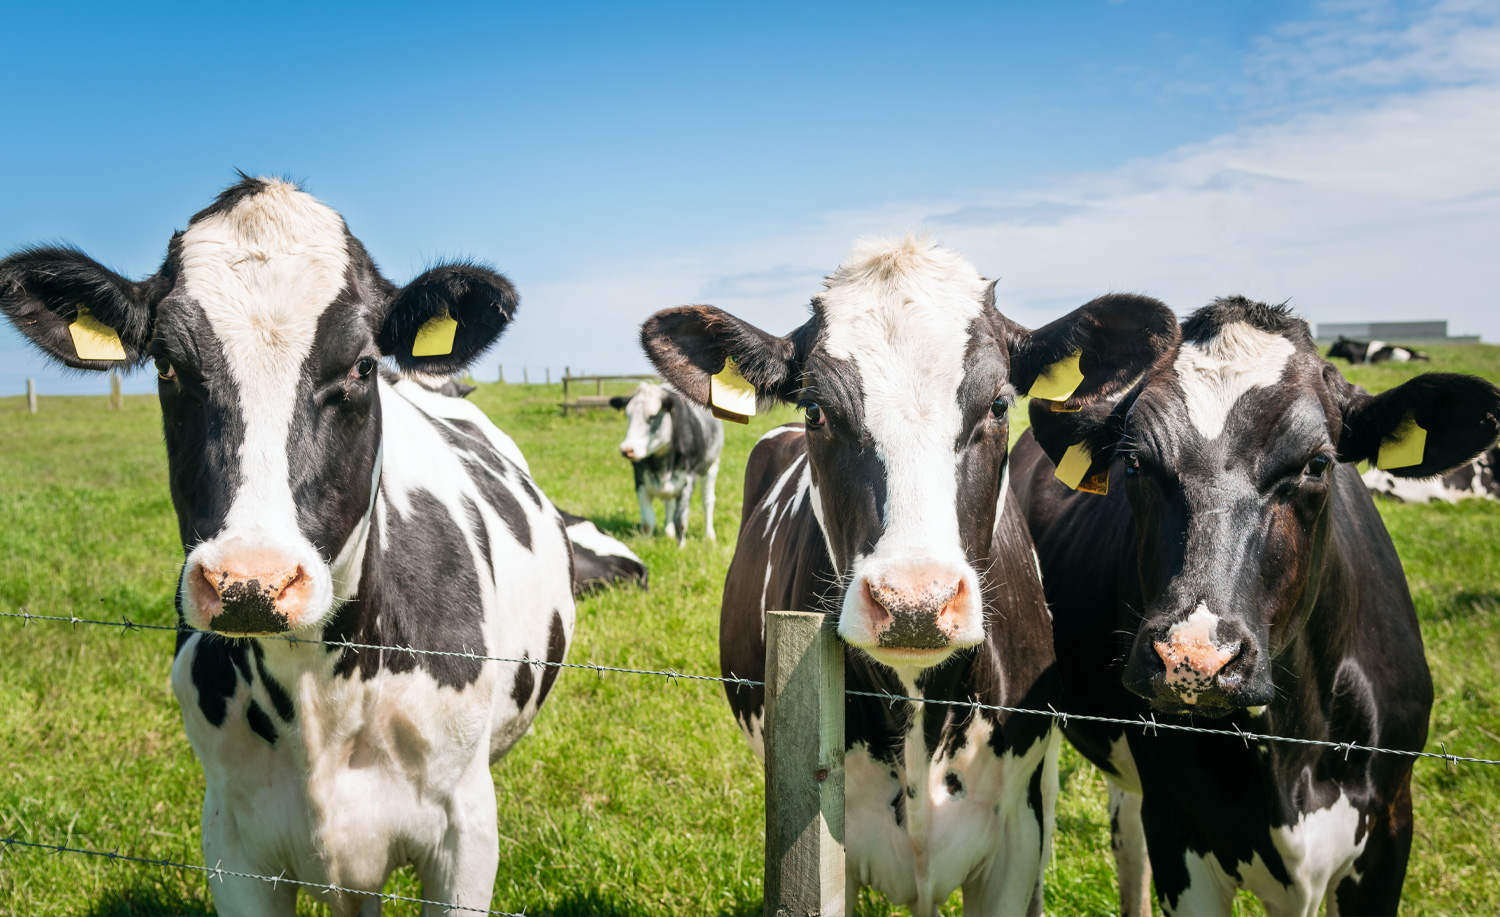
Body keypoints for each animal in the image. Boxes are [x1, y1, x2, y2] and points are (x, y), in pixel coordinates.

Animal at [0, 174, 579, 917]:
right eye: (167, 366)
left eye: (362, 365)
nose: (253, 580)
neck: (315, 689)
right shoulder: (232, 839)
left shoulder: (465, 831)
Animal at [609, 379, 726, 546]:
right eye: (627, 415)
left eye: (652, 416)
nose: (627, 449)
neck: (662, 463)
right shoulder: (640, 481)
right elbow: (647, 522)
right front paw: (646, 544)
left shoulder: (687, 481)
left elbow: (680, 521)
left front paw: (680, 547)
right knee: (669, 503)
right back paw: (668, 532)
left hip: (711, 466)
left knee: (708, 501)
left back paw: (709, 535)